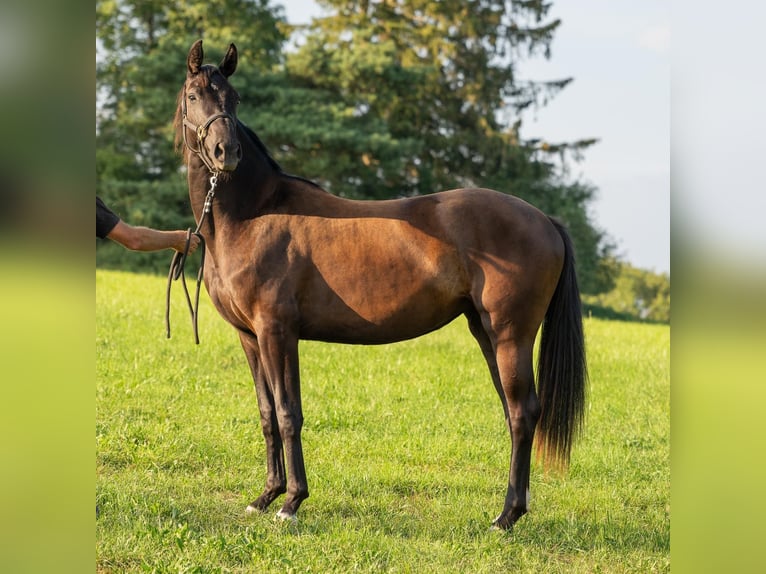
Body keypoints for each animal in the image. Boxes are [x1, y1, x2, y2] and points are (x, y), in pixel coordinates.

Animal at [174, 40, 588, 532]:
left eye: (234, 99)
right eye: (195, 95)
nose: (226, 152)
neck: (254, 213)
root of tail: (545, 221)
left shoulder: (278, 332)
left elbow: (289, 412)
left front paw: (291, 502)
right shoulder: (250, 337)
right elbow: (267, 413)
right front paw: (265, 496)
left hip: (510, 335)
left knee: (523, 413)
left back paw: (505, 517)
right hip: (486, 332)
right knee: (514, 413)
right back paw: (512, 510)